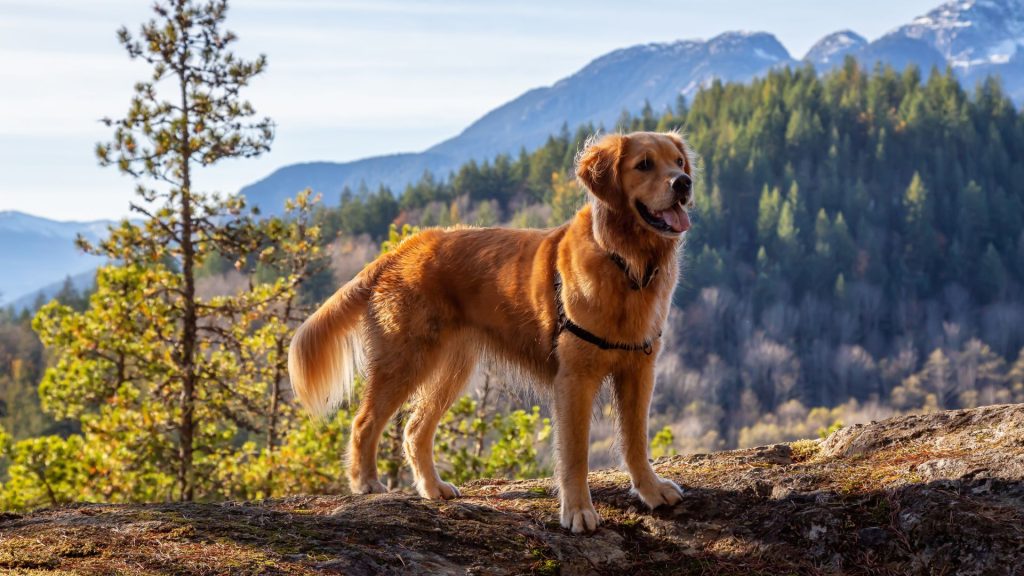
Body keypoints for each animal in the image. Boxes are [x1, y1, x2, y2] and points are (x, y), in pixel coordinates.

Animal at [292, 129, 700, 528]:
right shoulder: (574, 379)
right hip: (405, 360)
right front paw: (578, 510)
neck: (624, 261)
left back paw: (432, 487)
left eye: (678, 162)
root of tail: (401, 249)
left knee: (413, 431)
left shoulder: (639, 370)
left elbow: (636, 440)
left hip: (451, 368)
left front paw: (650, 489)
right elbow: (576, 454)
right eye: (644, 164)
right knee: (364, 422)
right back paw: (365, 482)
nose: (684, 183)